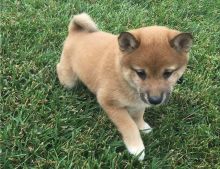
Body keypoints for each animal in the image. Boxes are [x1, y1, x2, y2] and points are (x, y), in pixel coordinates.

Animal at [56, 12, 192, 160]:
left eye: (168, 73)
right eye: (140, 73)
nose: (155, 100)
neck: (123, 77)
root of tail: (76, 32)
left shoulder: (139, 102)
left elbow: (138, 116)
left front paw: (142, 126)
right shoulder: (110, 103)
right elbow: (129, 125)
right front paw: (136, 148)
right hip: (69, 79)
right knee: (59, 69)